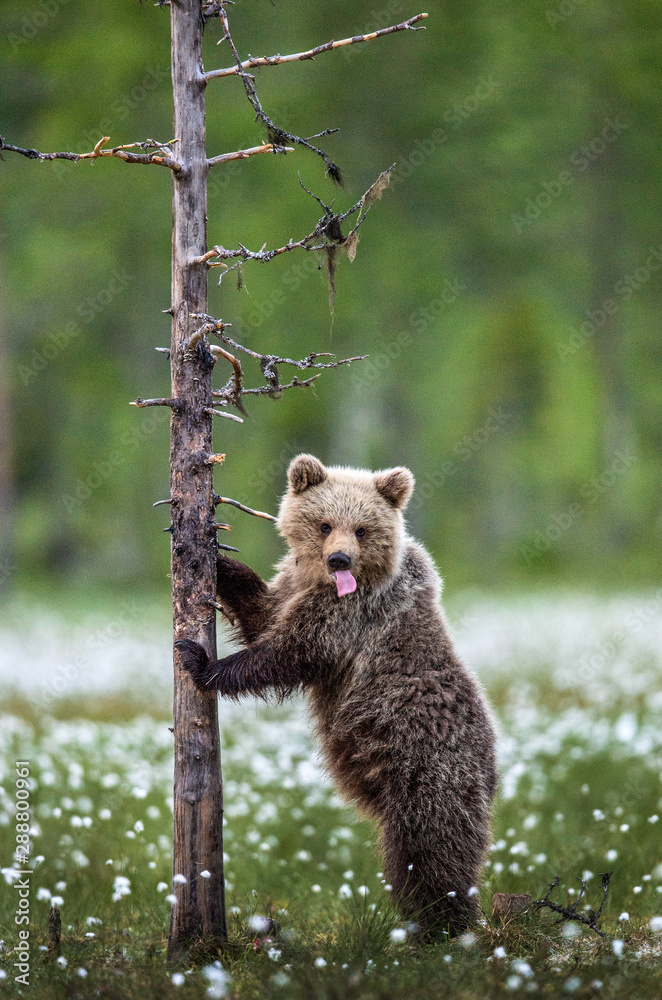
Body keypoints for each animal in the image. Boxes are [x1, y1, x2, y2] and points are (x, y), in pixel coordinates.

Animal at [176, 453, 498, 936]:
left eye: (362, 528)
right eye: (325, 523)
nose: (339, 558)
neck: (327, 583)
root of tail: (494, 766)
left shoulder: (352, 616)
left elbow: (289, 651)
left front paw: (200, 660)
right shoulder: (295, 588)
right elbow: (263, 614)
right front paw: (214, 557)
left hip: (429, 772)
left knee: (430, 851)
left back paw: (441, 925)